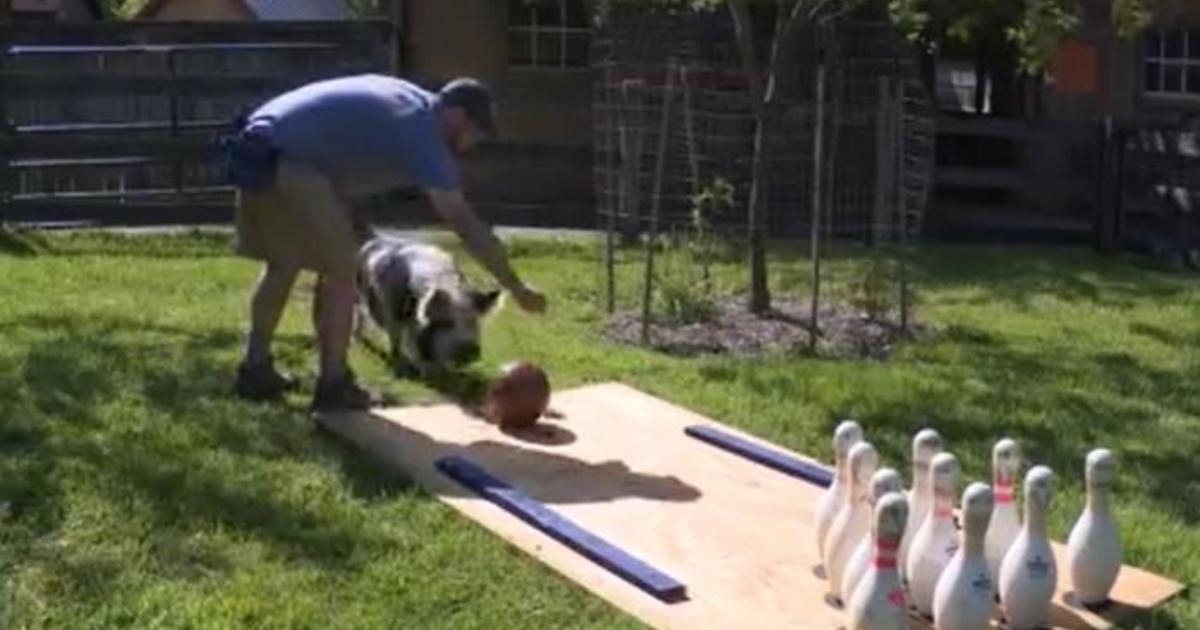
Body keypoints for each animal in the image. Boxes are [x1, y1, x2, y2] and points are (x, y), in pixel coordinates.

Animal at [355, 232, 506, 376]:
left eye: (474, 321)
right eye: (446, 322)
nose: (469, 350)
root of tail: (372, 241)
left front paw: (437, 371)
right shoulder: (392, 312)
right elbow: (397, 339)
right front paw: (403, 368)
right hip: (358, 295)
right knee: (360, 316)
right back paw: (357, 339)